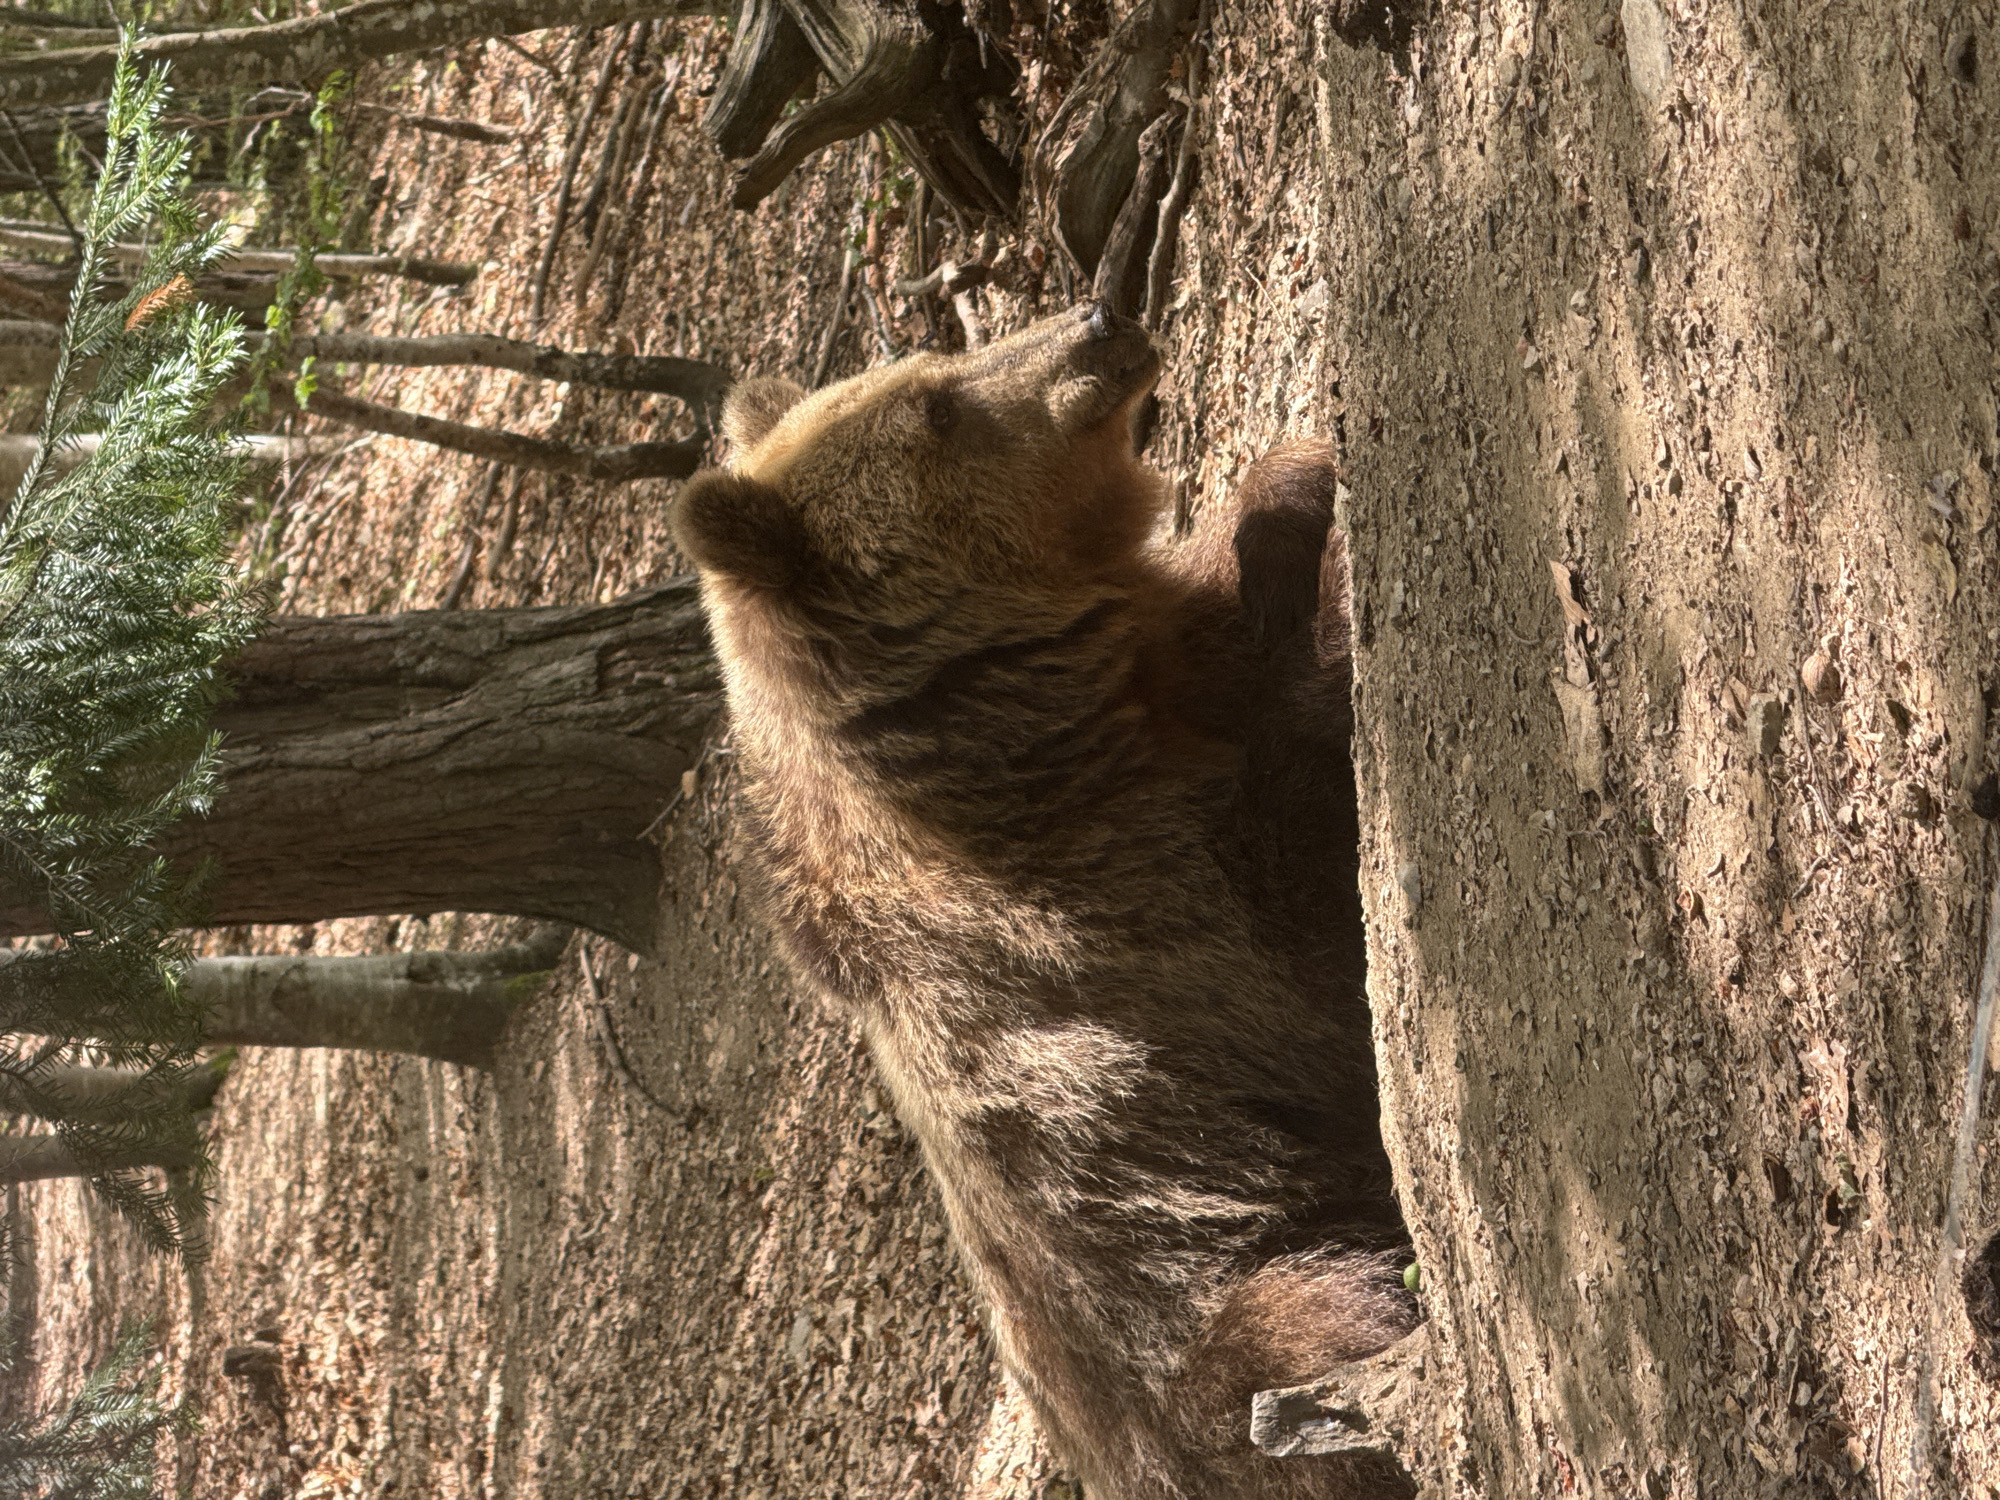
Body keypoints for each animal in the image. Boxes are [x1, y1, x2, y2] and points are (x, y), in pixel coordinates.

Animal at [671, 301, 1415, 1500]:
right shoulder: (1128, 912)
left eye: (935, 360)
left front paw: (1300, 482)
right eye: (933, 408)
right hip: (1212, 1336)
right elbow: (1304, 885)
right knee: (1322, 1321)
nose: (1097, 318)